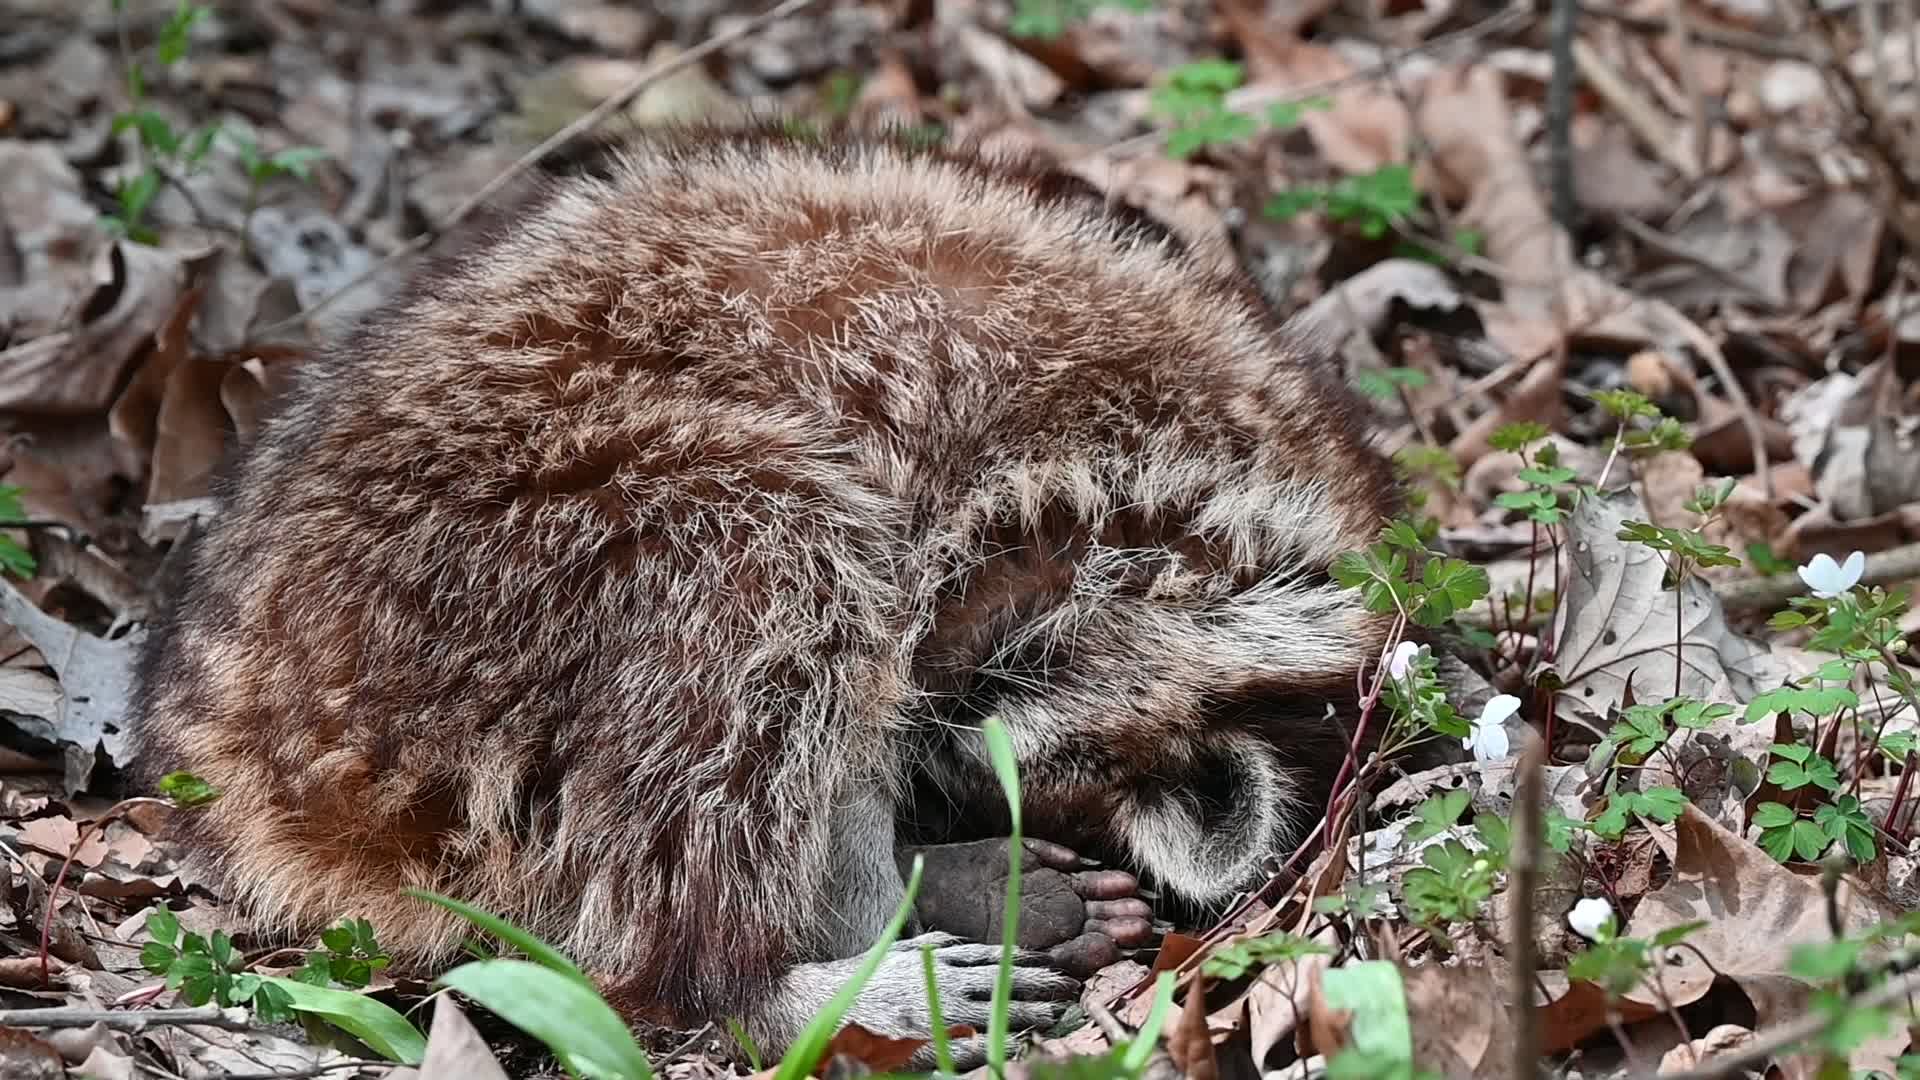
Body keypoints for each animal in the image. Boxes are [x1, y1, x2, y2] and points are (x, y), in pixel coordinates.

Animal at [128, 124, 1399, 1058]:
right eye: (1003, 684)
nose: (935, 776)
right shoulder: (986, 418)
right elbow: (870, 614)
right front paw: (863, 866)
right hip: (483, 545)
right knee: (771, 546)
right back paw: (768, 972)